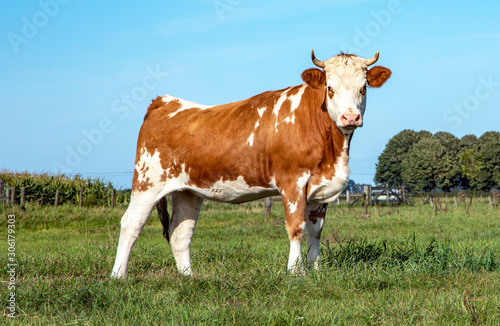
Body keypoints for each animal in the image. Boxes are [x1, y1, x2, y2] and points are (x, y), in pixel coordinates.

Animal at [111, 50, 392, 278]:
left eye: (364, 88)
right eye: (330, 88)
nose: (350, 117)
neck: (333, 150)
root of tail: (164, 102)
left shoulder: (320, 189)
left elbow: (316, 231)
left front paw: (316, 270)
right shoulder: (292, 182)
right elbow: (297, 228)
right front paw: (296, 272)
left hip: (187, 191)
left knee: (181, 232)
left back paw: (188, 277)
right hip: (147, 183)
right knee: (130, 224)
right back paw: (118, 276)